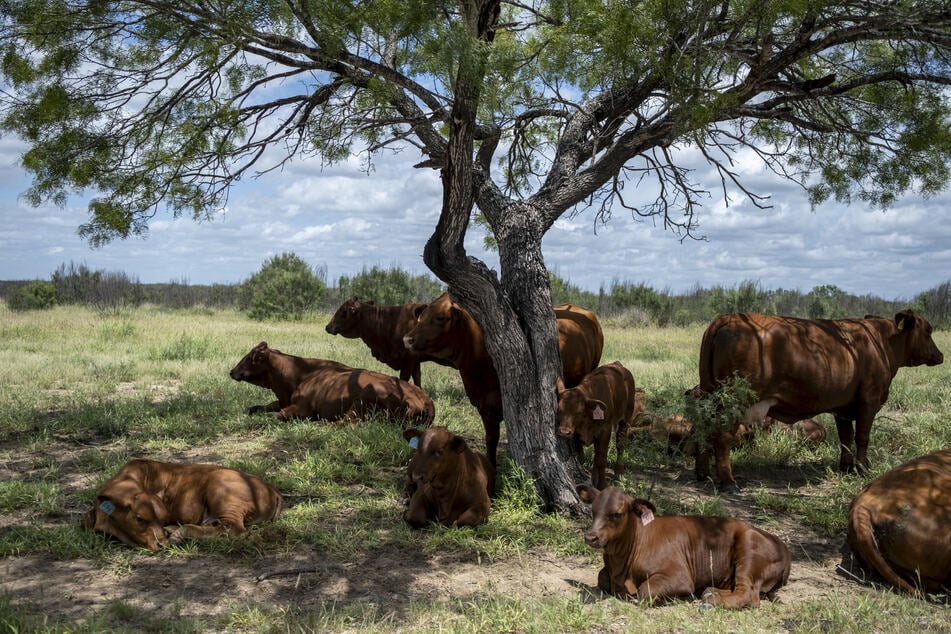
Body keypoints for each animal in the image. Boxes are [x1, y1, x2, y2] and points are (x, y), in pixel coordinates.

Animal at [83, 459, 283, 551]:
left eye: (161, 518)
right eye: (139, 518)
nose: (162, 543)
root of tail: (272, 489)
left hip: (223, 493)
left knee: (231, 529)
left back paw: (179, 532)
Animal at [229, 342, 435, 425]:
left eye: (249, 358)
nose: (232, 371)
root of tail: (425, 400)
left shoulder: (302, 408)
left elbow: (277, 415)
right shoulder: (283, 401)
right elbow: (262, 407)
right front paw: (250, 409)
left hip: (363, 400)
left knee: (345, 423)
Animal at [577, 485, 791, 608]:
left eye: (617, 514)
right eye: (593, 510)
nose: (590, 537)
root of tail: (782, 545)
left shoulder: (679, 575)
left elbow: (645, 591)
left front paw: (680, 598)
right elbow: (601, 577)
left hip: (748, 552)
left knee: (748, 594)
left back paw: (711, 601)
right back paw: (709, 592)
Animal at [696, 310, 943, 489]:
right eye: (928, 330)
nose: (940, 355)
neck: (880, 343)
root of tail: (731, 317)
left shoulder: (843, 407)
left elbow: (846, 437)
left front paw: (846, 467)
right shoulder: (869, 400)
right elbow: (862, 436)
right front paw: (863, 468)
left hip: (709, 396)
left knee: (704, 432)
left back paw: (703, 473)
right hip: (735, 401)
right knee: (722, 437)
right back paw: (728, 482)